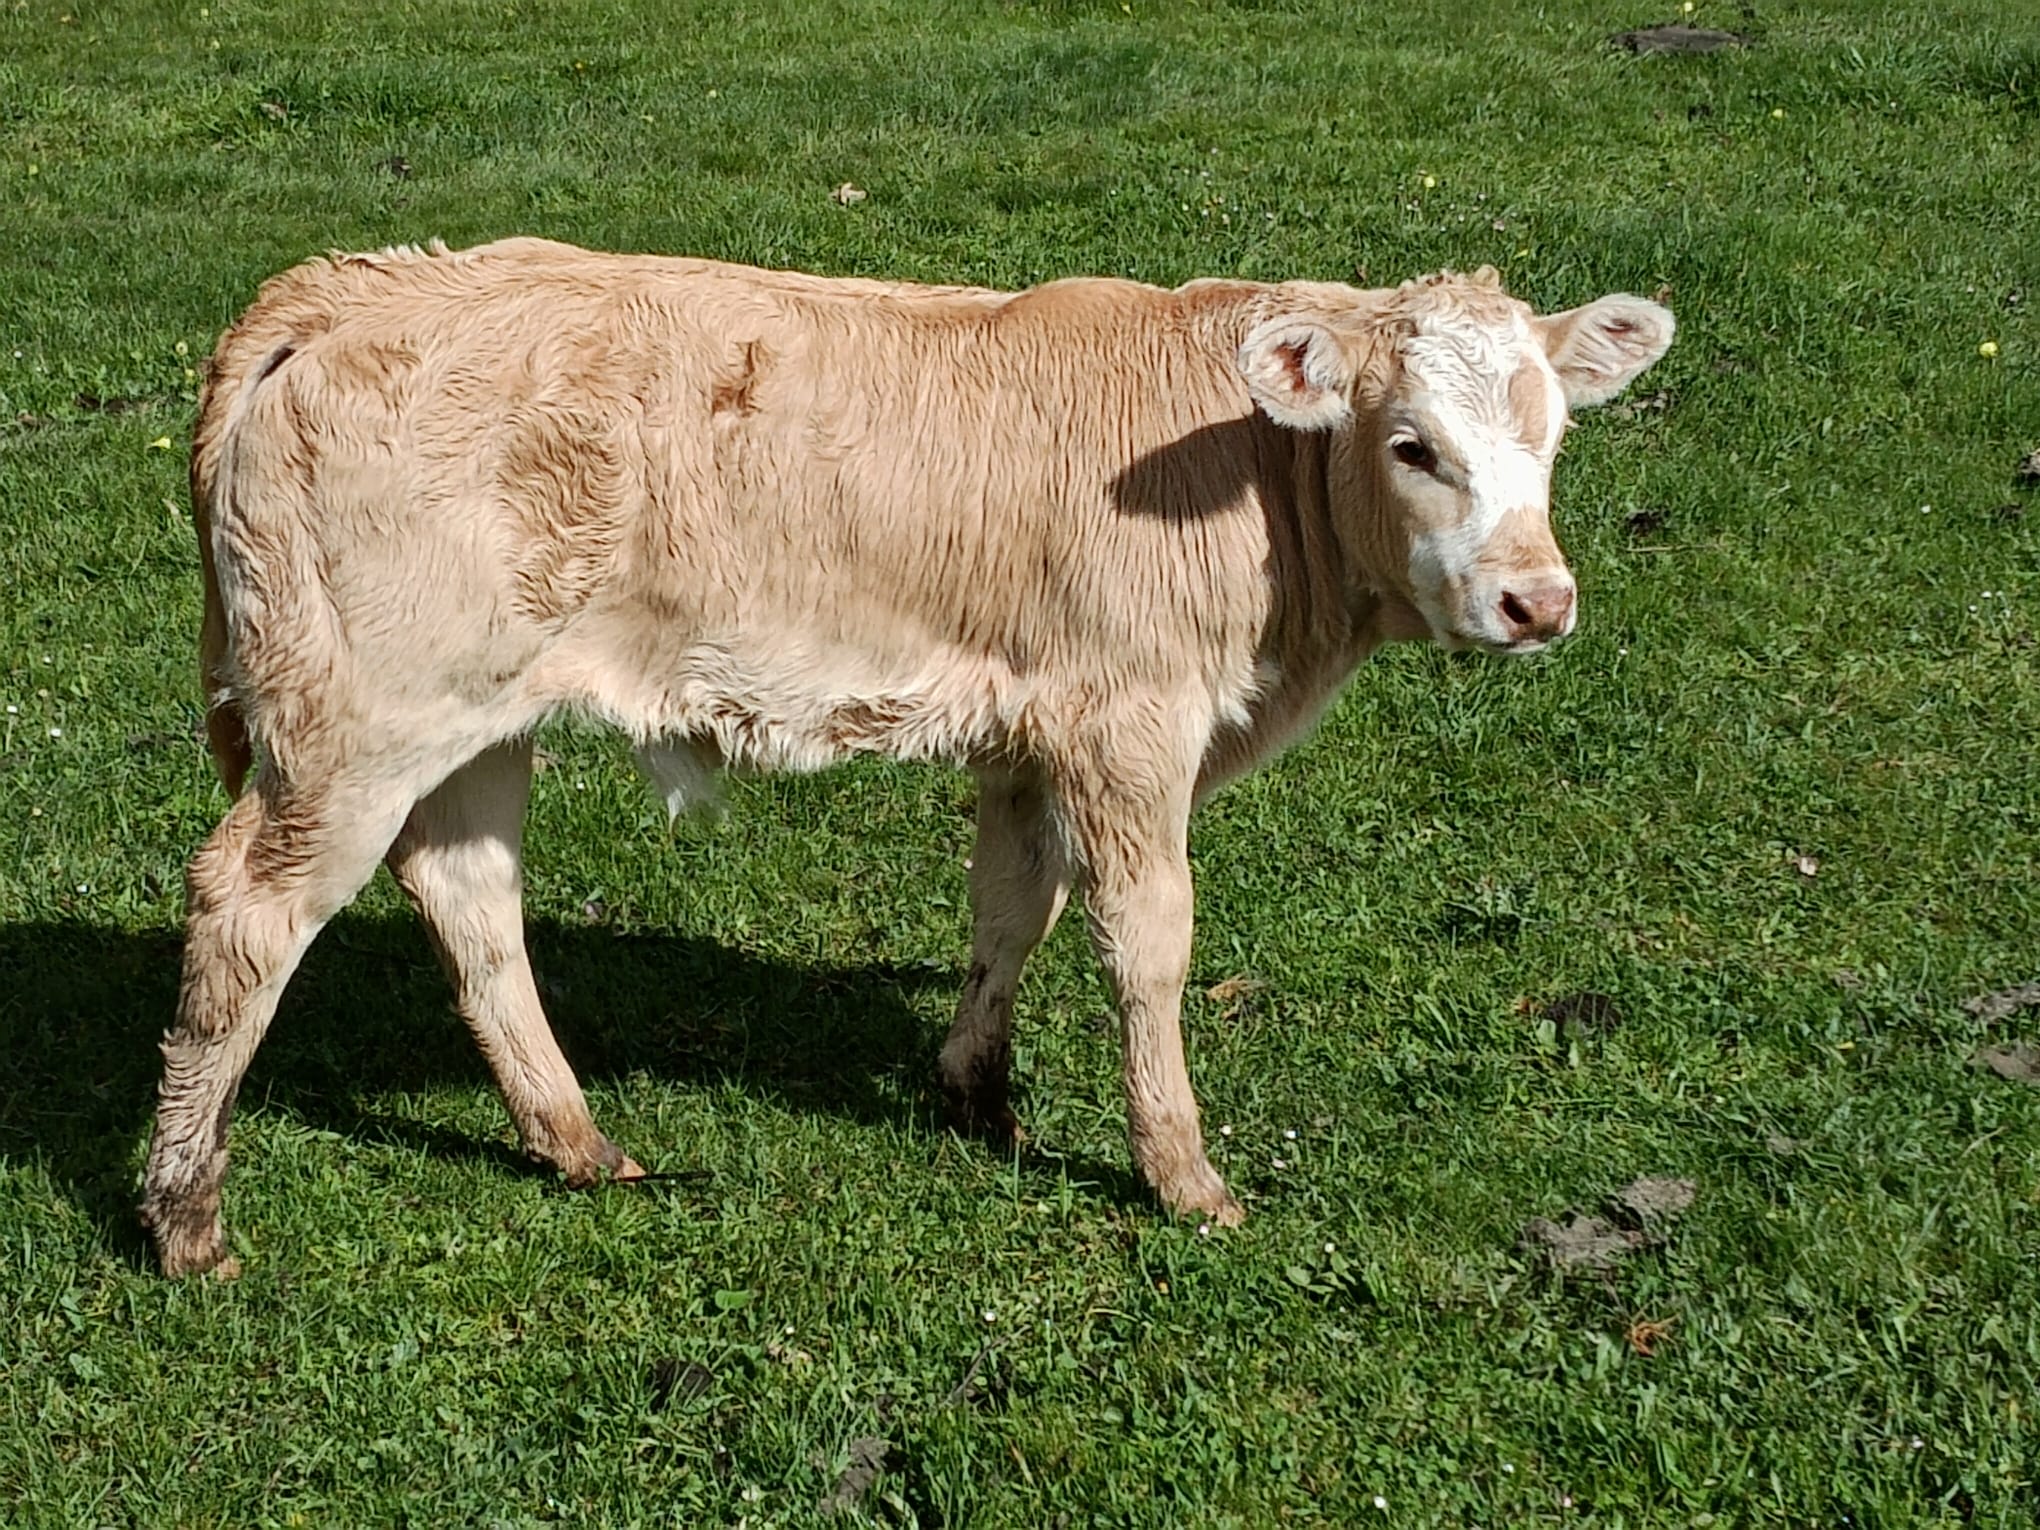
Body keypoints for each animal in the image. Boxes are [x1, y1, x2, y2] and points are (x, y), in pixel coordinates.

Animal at [141, 238, 1673, 1276]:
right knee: (247, 915)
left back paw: (575, 1141)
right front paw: (1181, 1174)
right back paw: (184, 1215)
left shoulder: (1032, 733)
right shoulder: (1129, 724)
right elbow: (1147, 942)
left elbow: (1012, 911)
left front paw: (976, 1096)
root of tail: (347, 290)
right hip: (356, 722)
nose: (1537, 601)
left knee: (469, 897)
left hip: (474, 717)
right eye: (1413, 445)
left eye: (1552, 435)